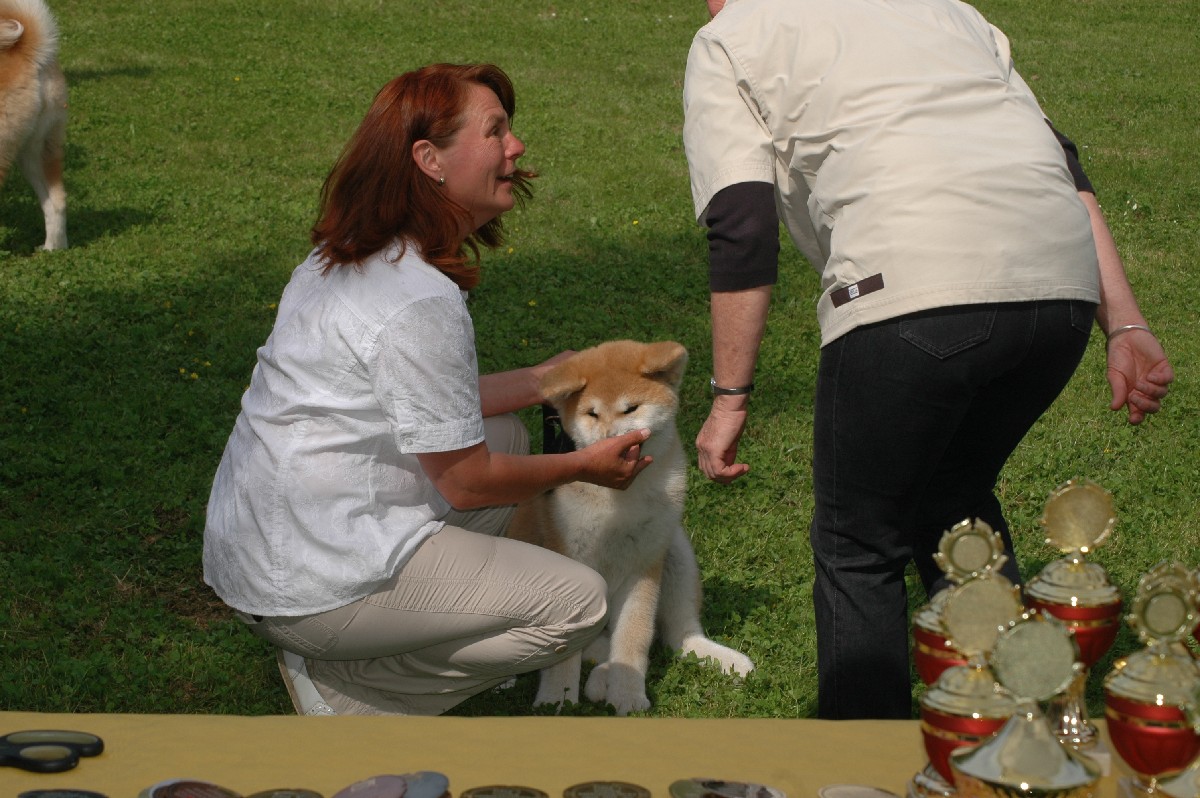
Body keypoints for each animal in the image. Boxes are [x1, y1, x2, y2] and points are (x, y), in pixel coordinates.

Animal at [507, 340, 754, 715]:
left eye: (631, 409)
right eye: (592, 413)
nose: (611, 440)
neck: (620, 499)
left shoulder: (645, 561)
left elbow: (635, 635)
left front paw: (627, 695)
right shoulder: (571, 559)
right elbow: (565, 657)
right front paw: (556, 698)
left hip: (676, 552)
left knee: (678, 637)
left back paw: (720, 658)